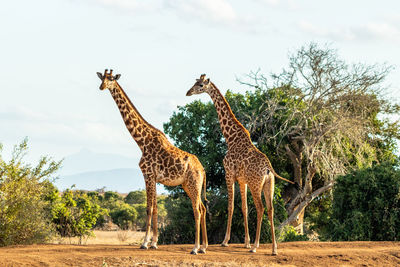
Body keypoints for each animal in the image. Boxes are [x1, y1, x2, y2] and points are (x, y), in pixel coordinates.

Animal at [97, 69, 209, 255]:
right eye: (102, 78)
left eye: (111, 79)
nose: (102, 86)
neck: (141, 141)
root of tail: (203, 169)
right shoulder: (154, 178)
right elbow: (155, 207)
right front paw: (154, 242)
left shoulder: (148, 174)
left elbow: (149, 208)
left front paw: (144, 243)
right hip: (189, 185)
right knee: (203, 208)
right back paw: (203, 247)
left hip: (193, 184)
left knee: (197, 210)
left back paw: (195, 248)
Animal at [185, 74, 294, 255]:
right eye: (194, 82)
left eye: (200, 85)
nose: (188, 92)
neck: (231, 138)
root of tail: (268, 169)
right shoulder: (243, 180)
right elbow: (244, 208)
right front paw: (246, 242)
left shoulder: (228, 173)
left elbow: (230, 207)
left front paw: (225, 241)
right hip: (269, 186)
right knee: (270, 209)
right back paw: (273, 248)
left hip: (256, 185)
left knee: (260, 208)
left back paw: (257, 247)